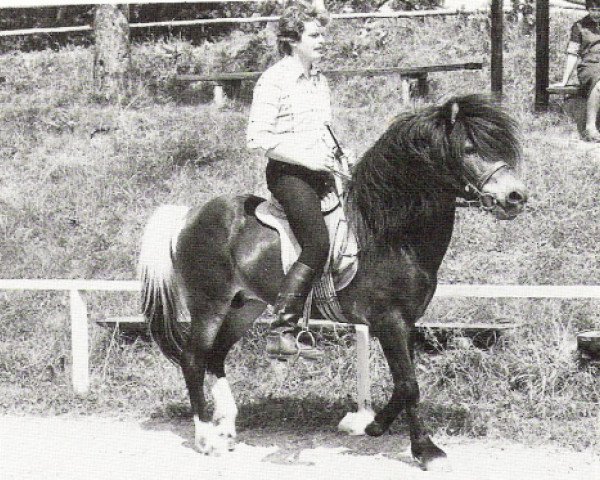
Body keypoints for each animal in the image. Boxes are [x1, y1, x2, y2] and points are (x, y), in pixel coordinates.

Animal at [138, 94, 528, 472]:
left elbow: (404, 385)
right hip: (209, 304)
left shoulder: (406, 322)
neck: (391, 235)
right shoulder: (389, 321)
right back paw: (207, 438)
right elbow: (409, 385)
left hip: (244, 306)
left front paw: (376, 428)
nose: (516, 197)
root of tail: (190, 215)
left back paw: (228, 427)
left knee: (216, 356)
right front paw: (420, 448)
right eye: (470, 148)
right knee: (193, 358)